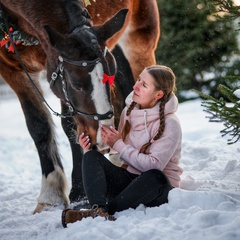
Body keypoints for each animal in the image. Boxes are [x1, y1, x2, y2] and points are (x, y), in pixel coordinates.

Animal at [0, 0, 161, 214]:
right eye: (76, 84)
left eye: (111, 73)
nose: (101, 138)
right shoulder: (12, 70)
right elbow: (39, 126)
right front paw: (50, 195)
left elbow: (71, 128)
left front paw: (78, 194)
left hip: (139, 41)